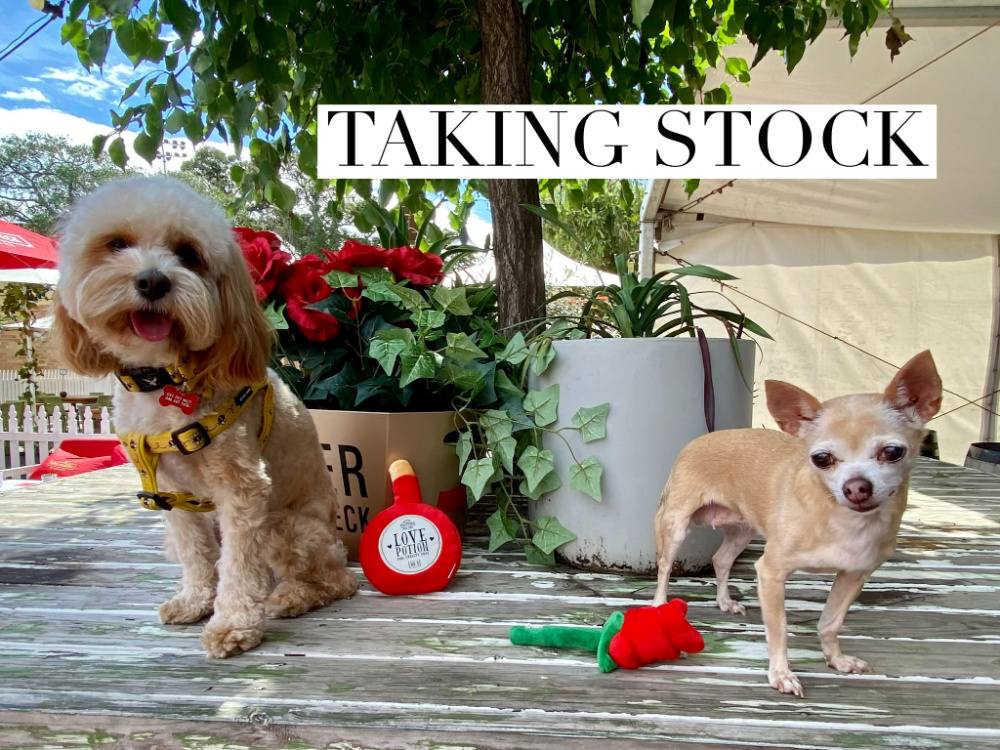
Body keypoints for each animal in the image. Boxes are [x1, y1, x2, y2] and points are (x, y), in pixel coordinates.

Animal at [50, 176, 358, 656]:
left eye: (188, 253)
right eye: (116, 243)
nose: (152, 281)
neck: (163, 378)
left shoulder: (243, 489)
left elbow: (238, 567)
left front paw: (232, 624)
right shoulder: (168, 492)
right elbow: (195, 553)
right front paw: (194, 601)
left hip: (284, 528)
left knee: (333, 580)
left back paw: (289, 597)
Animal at [652, 352, 940, 700]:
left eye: (893, 452)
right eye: (821, 458)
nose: (857, 487)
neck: (843, 520)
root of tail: (700, 439)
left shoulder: (854, 574)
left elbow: (830, 622)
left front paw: (837, 659)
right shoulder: (771, 573)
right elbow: (779, 630)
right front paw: (781, 674)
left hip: (743, 529)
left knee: (721, 559)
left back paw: (724, 601)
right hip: (676, 526)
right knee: (665, 569)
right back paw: (658, 606)